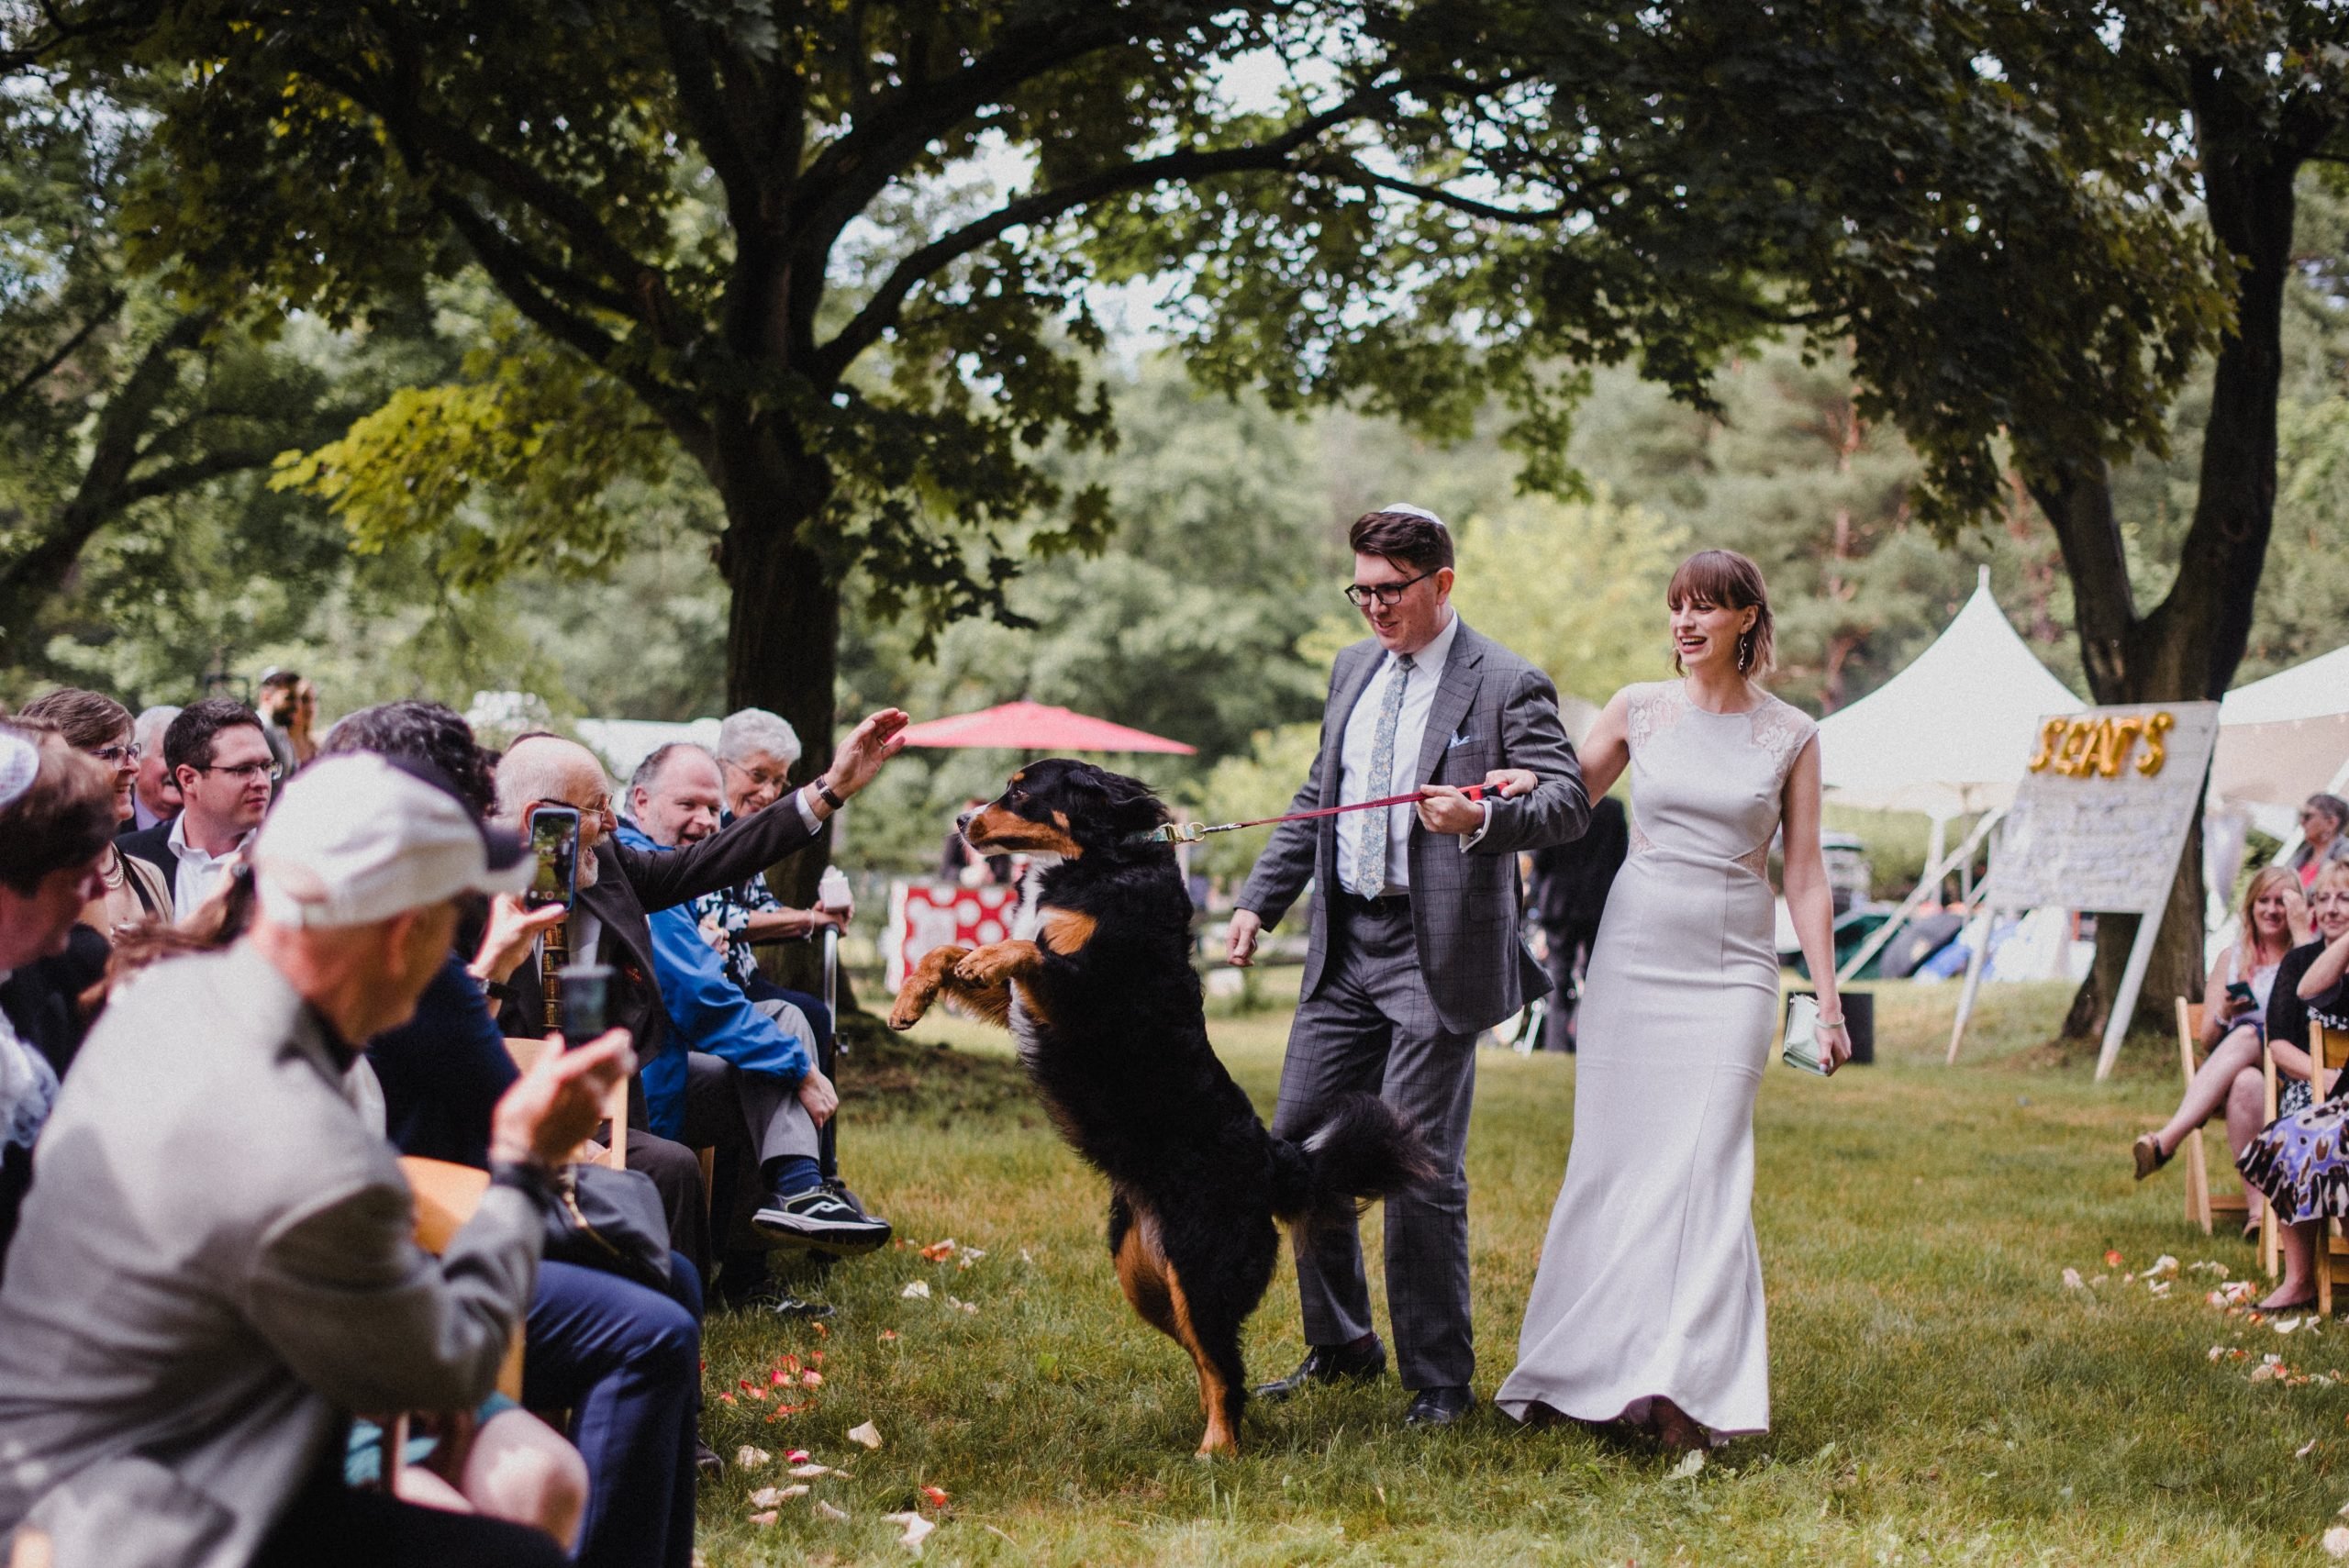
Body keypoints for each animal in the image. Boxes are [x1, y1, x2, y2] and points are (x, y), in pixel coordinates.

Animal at [887, 751, 1428, 1455]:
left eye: (1021, 791)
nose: (961, 820)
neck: (1099, 861)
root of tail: (1276, 1161)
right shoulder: (1025, 1004)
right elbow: (950, 949)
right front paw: (910, 998)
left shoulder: (1091, 1001)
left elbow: (1023, 948)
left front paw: (977, 959)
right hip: (1144, 1278)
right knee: (1211, 1362)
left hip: (1199, 1271)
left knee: (1225, 1367)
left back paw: (1217, 1451)